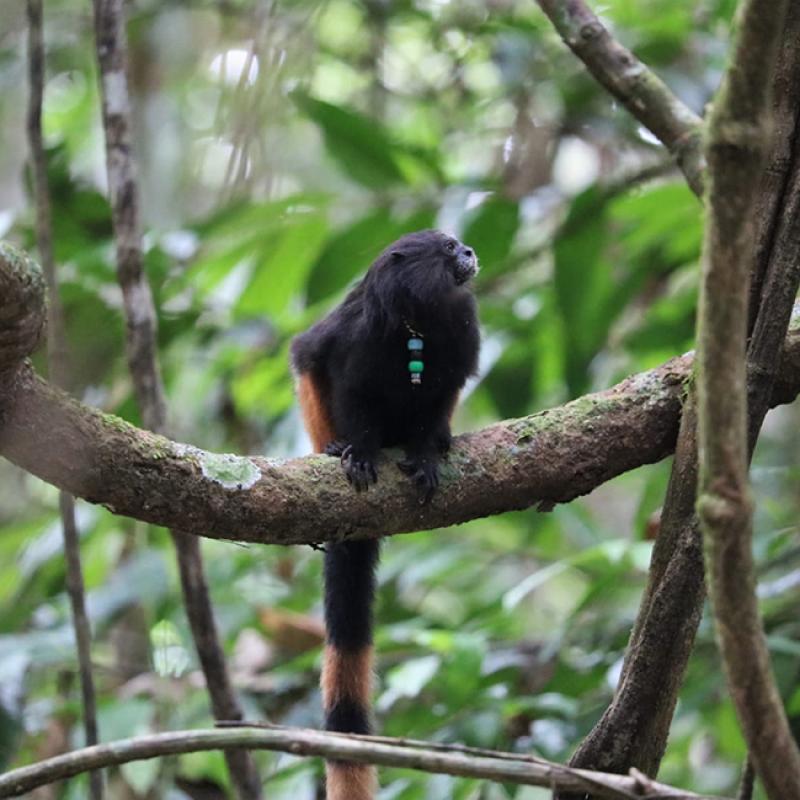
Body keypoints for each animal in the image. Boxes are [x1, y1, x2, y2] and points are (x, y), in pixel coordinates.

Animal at [294, 230, 482, 800]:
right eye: (449, 249)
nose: (470, 252)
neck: (417, 322)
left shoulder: (463, 330)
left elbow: (442, 395)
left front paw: (425, 452)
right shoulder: (351, 331)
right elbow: (315, 363)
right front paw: (352, 450)